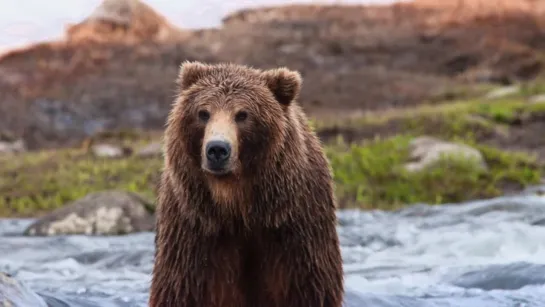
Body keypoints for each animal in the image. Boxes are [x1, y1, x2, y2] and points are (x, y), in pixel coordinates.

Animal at [148, 60, 344, 307]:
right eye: (203, 113)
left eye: (242, 115)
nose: (217, 149)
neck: (236, 206)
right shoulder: (192, 232)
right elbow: (180, 289)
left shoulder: (294, 231)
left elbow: (308, 287)